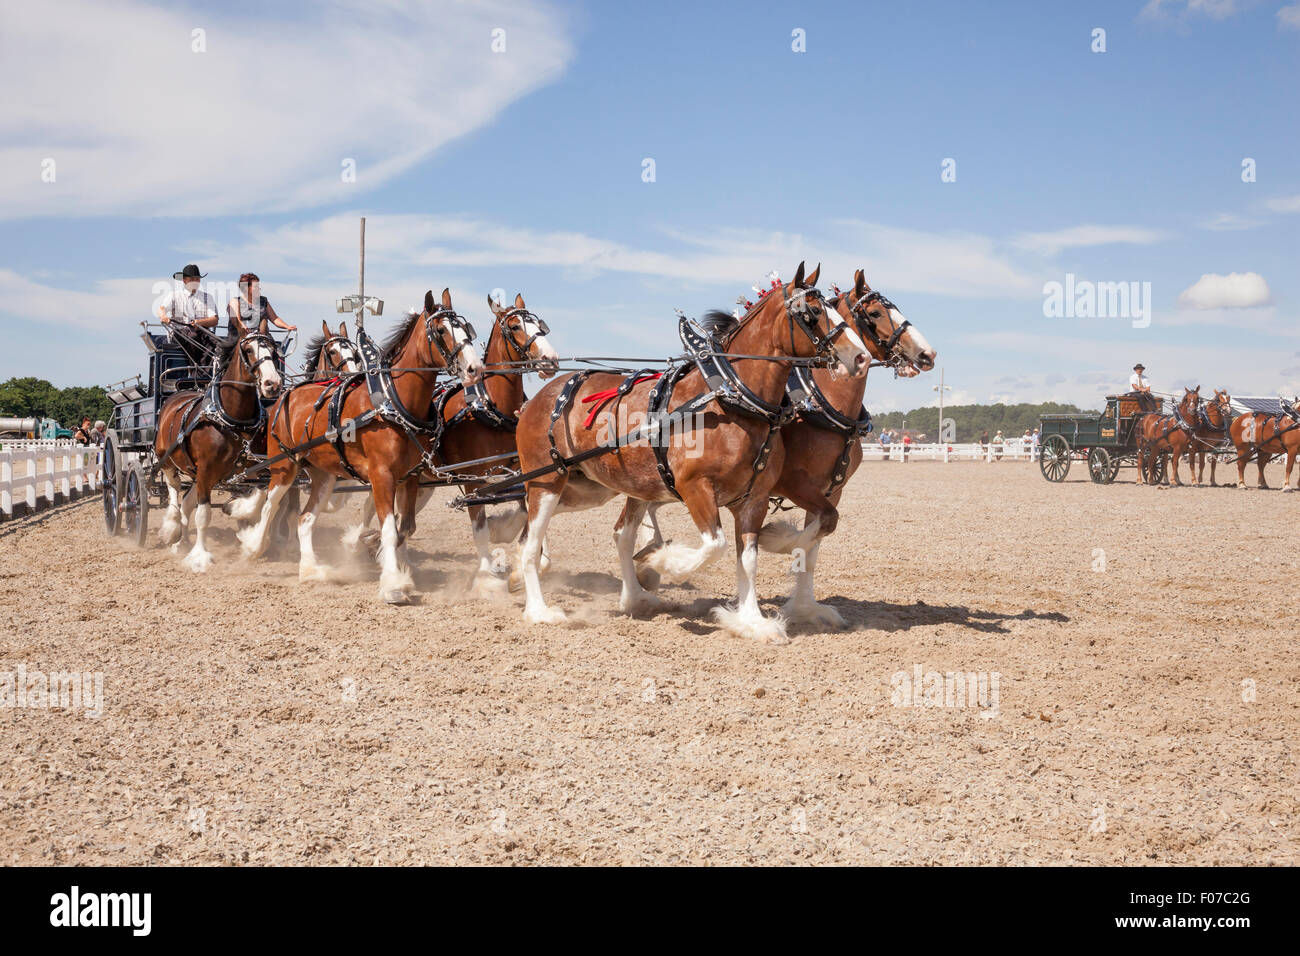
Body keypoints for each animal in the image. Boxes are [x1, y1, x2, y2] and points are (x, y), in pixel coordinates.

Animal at [153, 314, 283, 572]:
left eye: (273, 350)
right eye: (248, 349)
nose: (272, 383)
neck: (230, 418)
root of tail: (175, 396)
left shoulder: (254, 467)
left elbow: (260, 497)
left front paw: (237, 510)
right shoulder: (206, 470)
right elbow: (203, 515)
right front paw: (200, 556)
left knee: (186, 503)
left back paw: (180, 542)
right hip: (167, 459)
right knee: (174, 489)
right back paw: (172, 529)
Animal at [238, 289, 482, 603]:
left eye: (466, 328)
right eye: (441, 330)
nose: (475, 368)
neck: (393, 401)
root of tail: (285, 394)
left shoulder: (411, 477)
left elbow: (405, 528)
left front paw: (399, 571)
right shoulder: (382, 477)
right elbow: (389, 529)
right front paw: (391, 585)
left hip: (323, 475)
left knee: (305, 519)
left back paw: (311, 570)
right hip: (283, 466)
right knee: (270, 506)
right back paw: (253, 548)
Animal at [509, 261, 872, 644]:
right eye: (813, 312)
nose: (860, 356)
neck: (729, 398)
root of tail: (538, 399)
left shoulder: (755, 498)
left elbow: (749, 559)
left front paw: (752, 621)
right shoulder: (695, 487)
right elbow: (715, 545)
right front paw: (663, 561)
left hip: (588, 487)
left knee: (610, 535)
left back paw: (634, 597)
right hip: (547, 481)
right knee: (531, 543)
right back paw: (540, 611)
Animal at [631, 269, 936, 629]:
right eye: (874, 313)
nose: (927, 354)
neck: (820, 403)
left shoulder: (831, 491)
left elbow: (819, 538)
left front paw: (805, 607)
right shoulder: (793, 483)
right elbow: (814, 531)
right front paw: (775, 538)